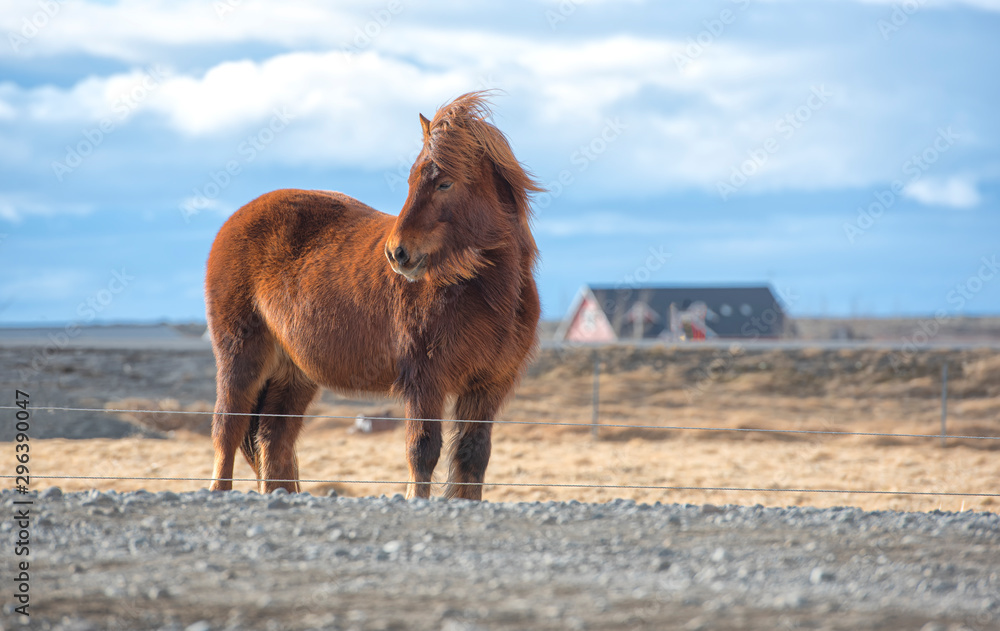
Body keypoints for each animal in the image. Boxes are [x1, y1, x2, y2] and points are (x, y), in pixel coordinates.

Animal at [206, 92, 544, 498]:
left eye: (445, 184)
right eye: (412, 179)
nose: (397, 253)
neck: (484, 291)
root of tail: (236, 219)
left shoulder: (488, 386)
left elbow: (474, 457)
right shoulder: (425, 380)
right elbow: (423, 451)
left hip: (294, 373)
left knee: (273, 439)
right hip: (241, 356)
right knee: (228, 430)